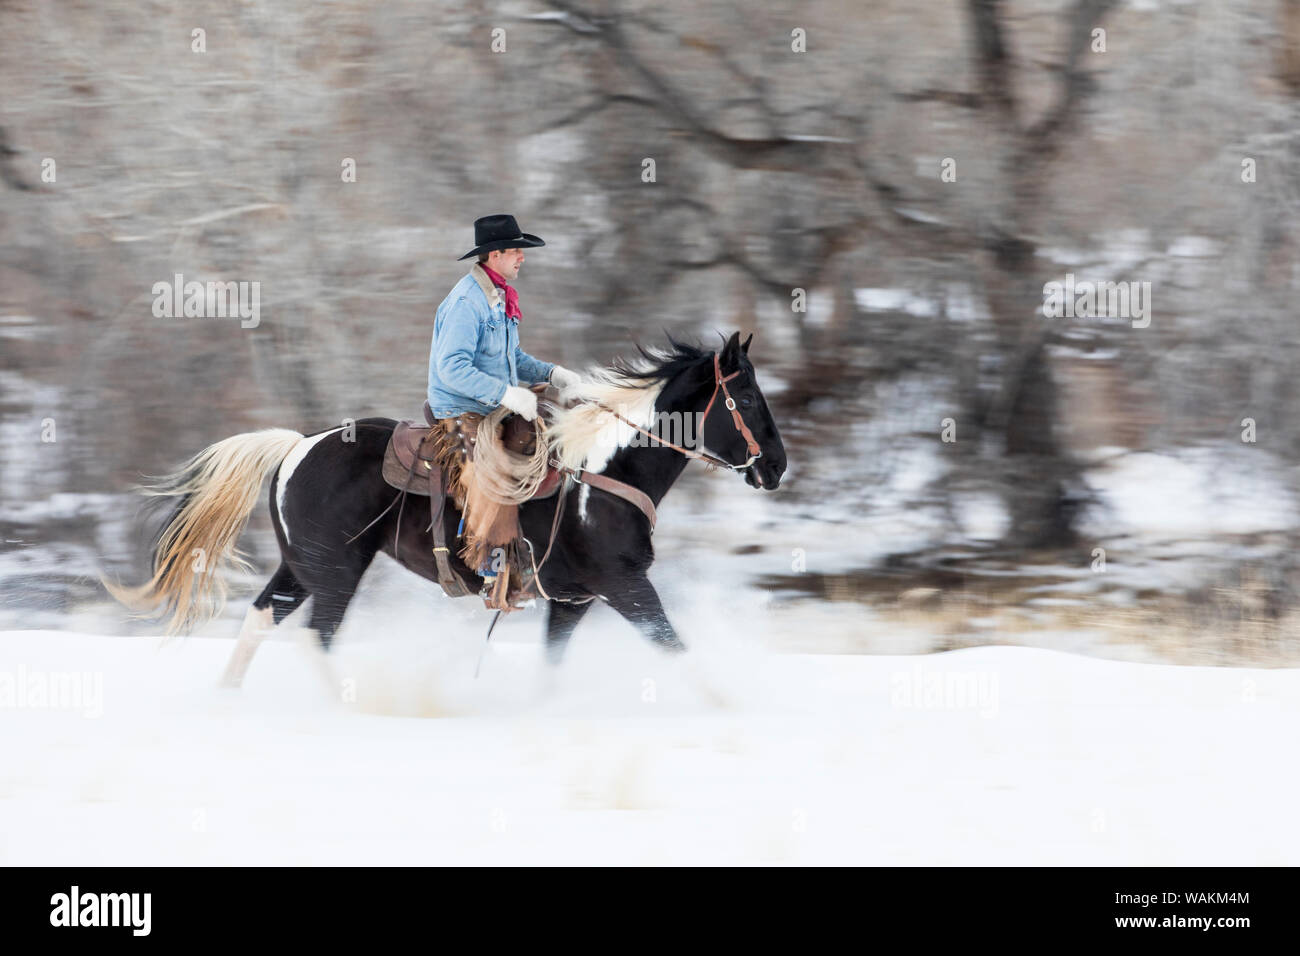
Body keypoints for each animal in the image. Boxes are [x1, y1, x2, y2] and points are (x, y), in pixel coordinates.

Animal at [112, 331, 786, 687]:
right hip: (336, 571)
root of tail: (298, 445)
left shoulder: (573, 599)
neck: (601, 475)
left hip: (301, 567)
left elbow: (552, 666)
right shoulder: (626, 585)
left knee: (260, 619)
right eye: (748, 397)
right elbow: (675, 648)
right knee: (317, 637)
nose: (778, 467)